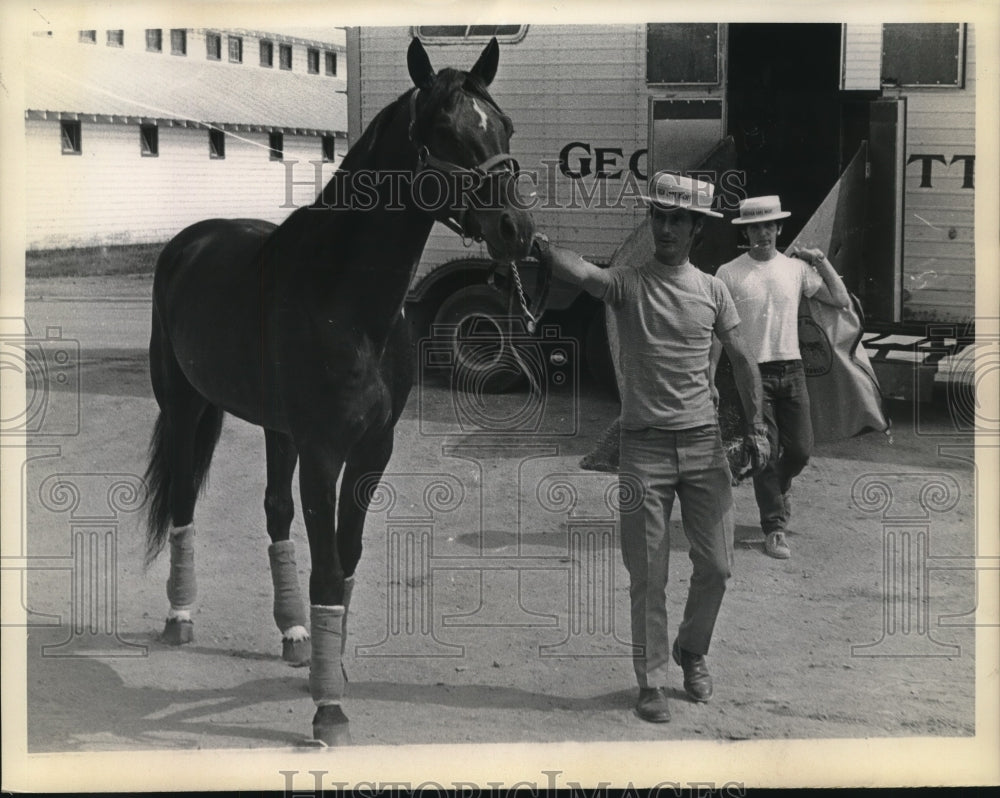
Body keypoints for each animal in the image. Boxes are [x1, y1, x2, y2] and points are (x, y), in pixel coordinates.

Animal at [144, 36, 536, 752]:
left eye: (505, 127)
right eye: (444, 130)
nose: (516, 230)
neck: (345, 298)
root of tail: (191, 240)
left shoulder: (371, 449)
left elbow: (347, 560)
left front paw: (330, 668)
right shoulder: (325, 451)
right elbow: (328, 565)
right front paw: (328, 710)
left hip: (276, 428)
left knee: (274, 511)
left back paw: (296, 635)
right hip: (186, 407)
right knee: (185, 498)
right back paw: (180, 616)